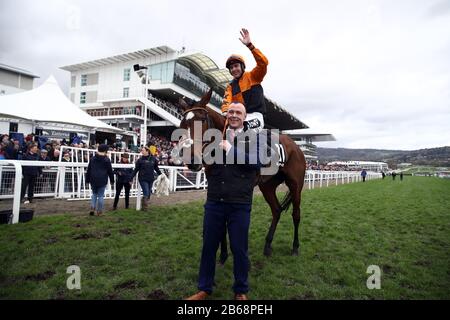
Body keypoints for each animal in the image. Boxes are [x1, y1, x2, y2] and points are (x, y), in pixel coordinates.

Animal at [172, 89, 306, 258]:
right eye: (182, 124)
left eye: (202, 120)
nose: (191, 159)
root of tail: (296, 146)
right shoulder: (217, 185)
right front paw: (223, 254)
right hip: (267, 185)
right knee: (276, 210)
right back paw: (268, 245)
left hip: (296, 185)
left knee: (296, 214)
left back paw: (295, 246)